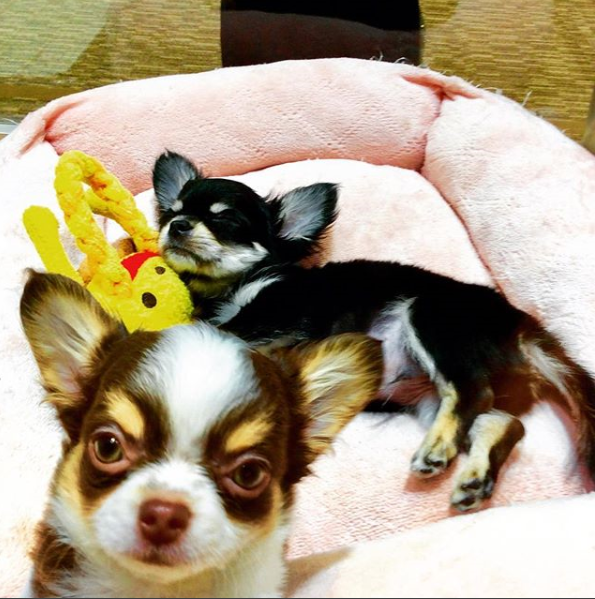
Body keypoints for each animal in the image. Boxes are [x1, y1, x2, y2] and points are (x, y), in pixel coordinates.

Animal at [153, 150, 595, 511]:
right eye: (170, 212)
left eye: (223, 218)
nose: (177, 225)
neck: (230, 285)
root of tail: (522, 327)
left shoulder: (279, 312)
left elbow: (217, 327)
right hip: (430, 398)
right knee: (503, 421)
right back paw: (474, 477)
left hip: (430, 317)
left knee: (472, 390)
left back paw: (436, 450)